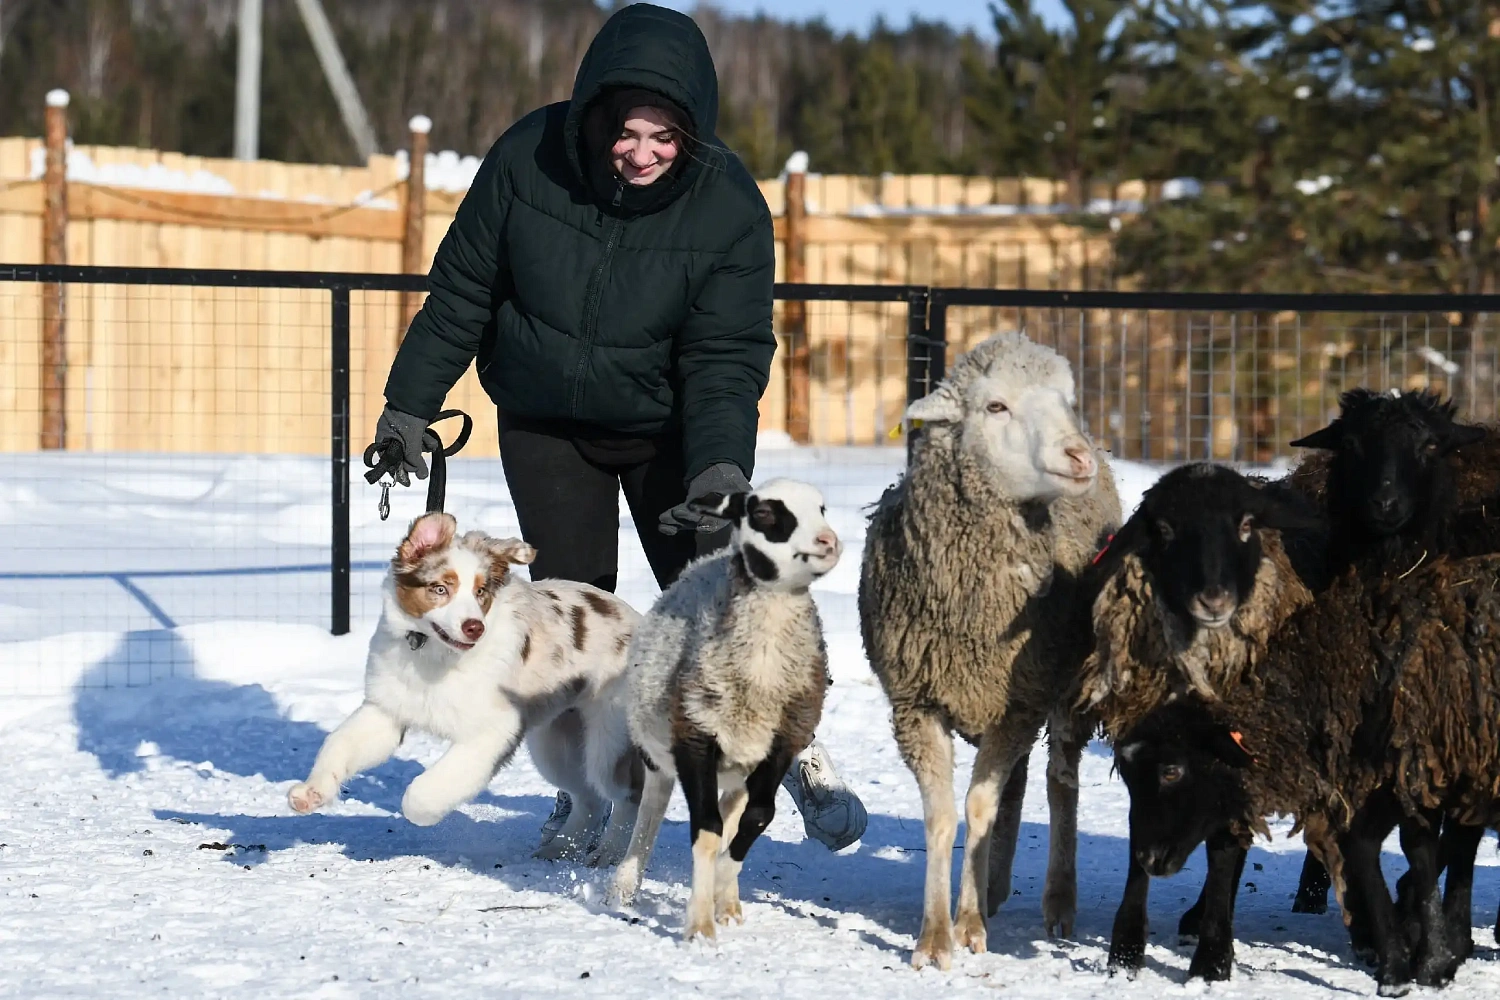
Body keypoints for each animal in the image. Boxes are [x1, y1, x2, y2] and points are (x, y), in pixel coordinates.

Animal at [288, 512, 645, 863]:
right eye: (440, 588)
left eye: (481, 591)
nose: (474, 627)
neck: (433, 655)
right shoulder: (386, 710)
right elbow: (338, 744)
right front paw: (311, 793)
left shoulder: (492, 730)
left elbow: (421, 792)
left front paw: (424, 814)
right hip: (558, 742)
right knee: (589, 796)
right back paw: (559, 849)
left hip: (608, 741)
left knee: (627, 794)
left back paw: (610, 854)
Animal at [609, 476, 846, 941]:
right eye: (765, 513)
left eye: (822, 509)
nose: (828, 542)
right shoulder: (695, 739)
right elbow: (706, 829)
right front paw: (699, 926)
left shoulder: (780, 745)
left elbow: (755, 818)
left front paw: (719, 891)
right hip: (661, 752)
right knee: (651, 809)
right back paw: (624, 885)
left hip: (740, 762)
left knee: (733, 812)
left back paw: (729, 903)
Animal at [864, 329, 1122, 971]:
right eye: (996, 406)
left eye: (1069, 400)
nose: (1078, 456)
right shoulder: (918, 704)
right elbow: (943, 815)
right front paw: (935, 936)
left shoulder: (1019, 704)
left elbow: (979, 808)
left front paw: (969, 926)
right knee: (1020, 784)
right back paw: (997, 886)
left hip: (1065, 694)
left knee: (1058, 781)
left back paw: (1057, 901)